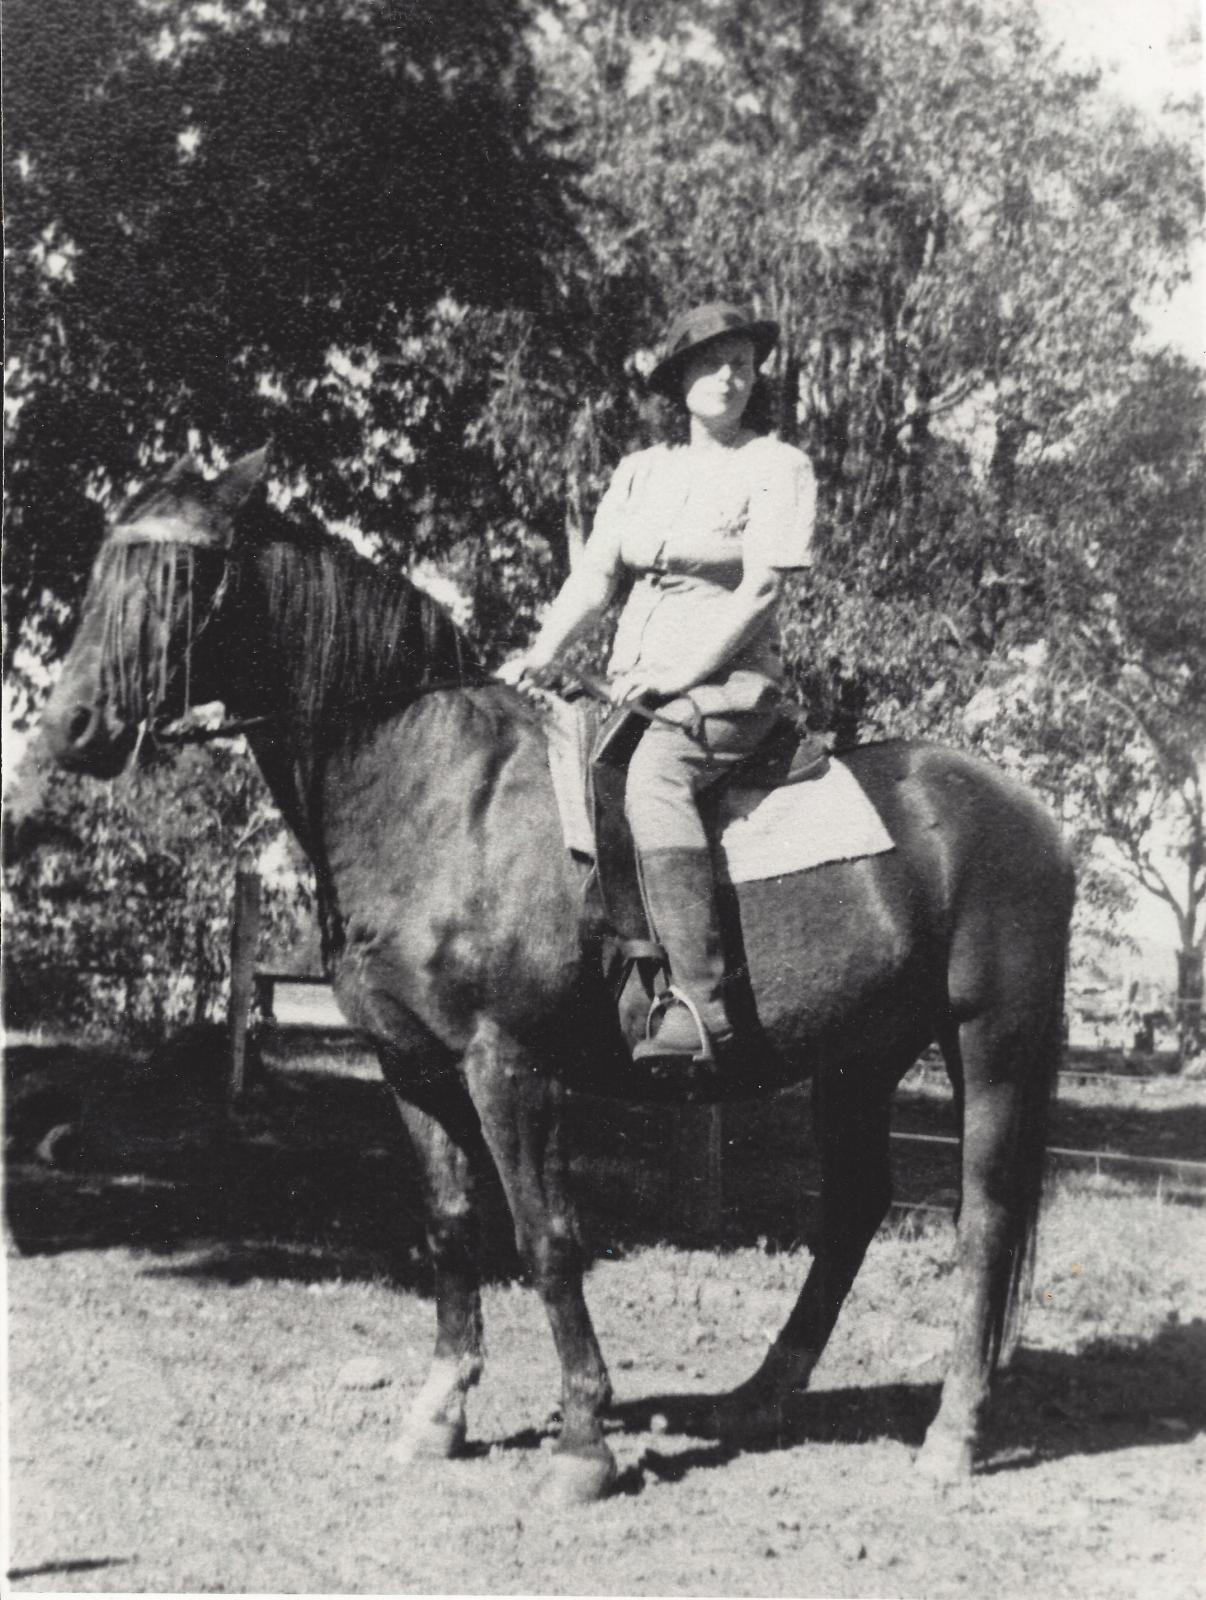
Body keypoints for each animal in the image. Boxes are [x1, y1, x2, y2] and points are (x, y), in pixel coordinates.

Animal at [39, 451, 1068, 1497]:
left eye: (183, 578)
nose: (68, 728)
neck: (436, 796)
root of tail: (1022, 810)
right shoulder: (412, 1068)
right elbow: (452, 1224)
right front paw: (441, 1414)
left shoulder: (510, 1068)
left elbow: (546, 1238)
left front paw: (584, 1442)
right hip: (855, 1060)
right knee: (854, 1210)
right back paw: (759, 1398)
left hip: (991, 1043)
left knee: (982, 1221)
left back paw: (951, 1434)